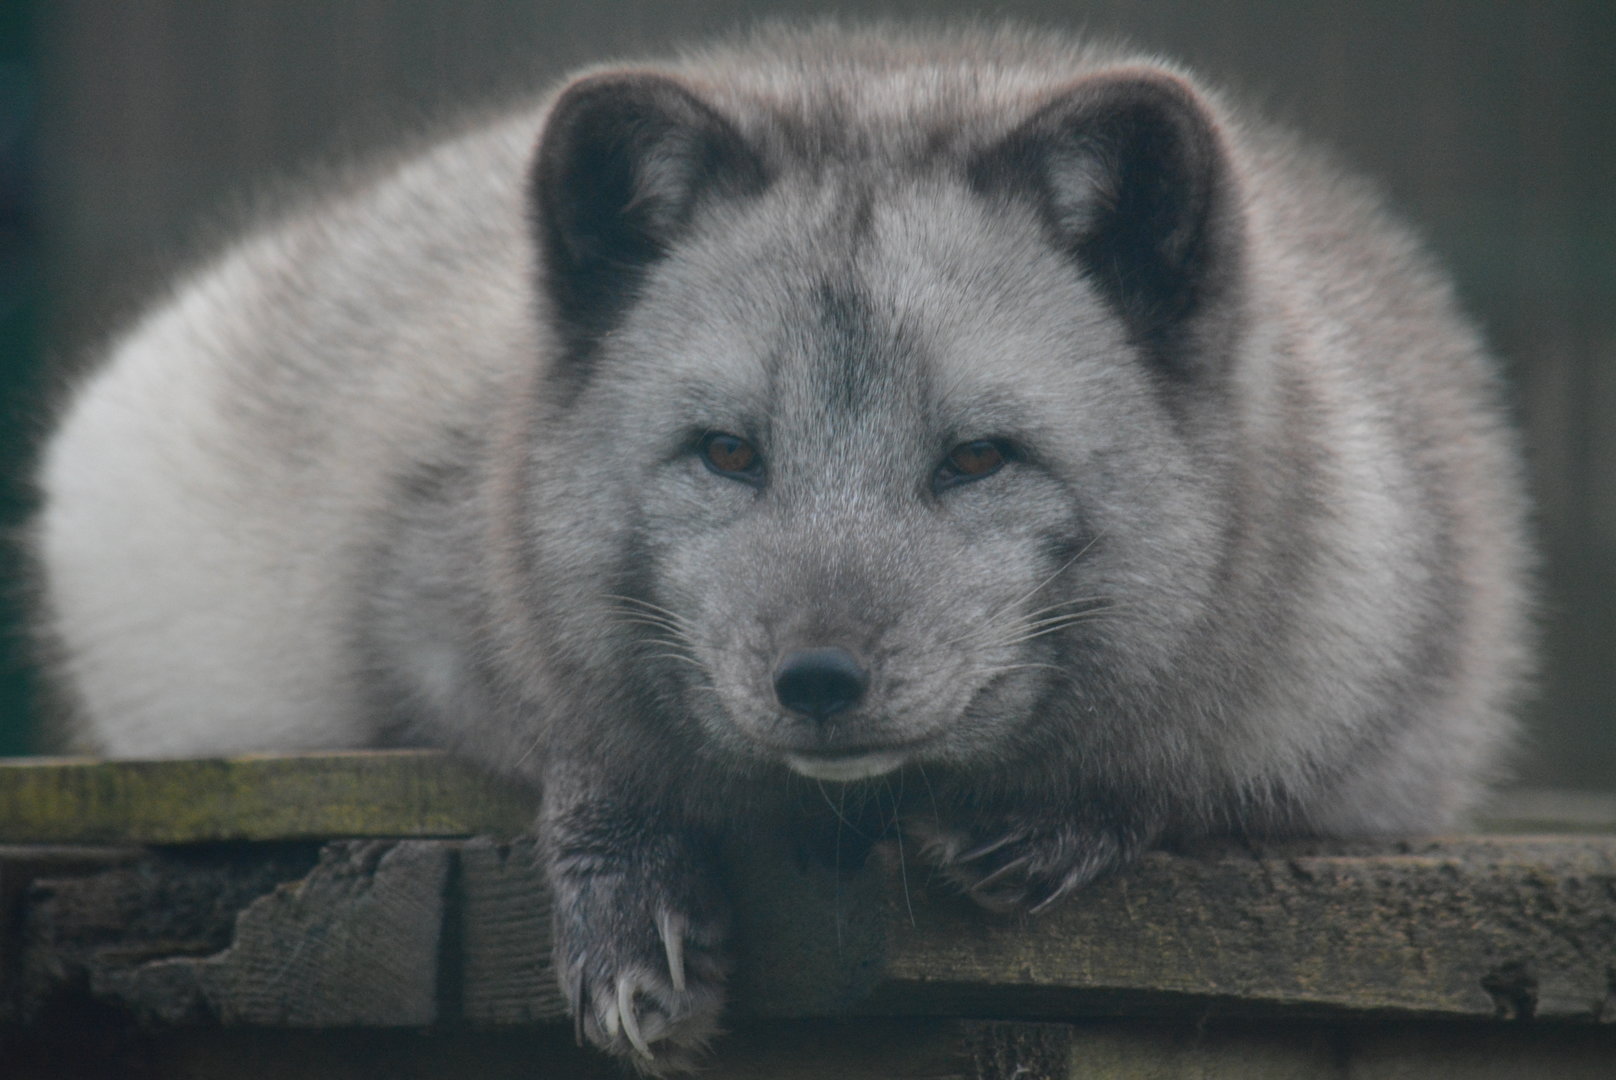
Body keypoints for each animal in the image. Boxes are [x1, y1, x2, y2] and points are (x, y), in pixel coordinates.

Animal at [32, 23, 1532, 1074]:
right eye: (727, 453)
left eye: (977, 458)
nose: (815, 681)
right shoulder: (430, 581)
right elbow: (573, 731)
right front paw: (629, 884)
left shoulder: (1388, 707)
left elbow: (1202, 767)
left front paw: (1075, 812)